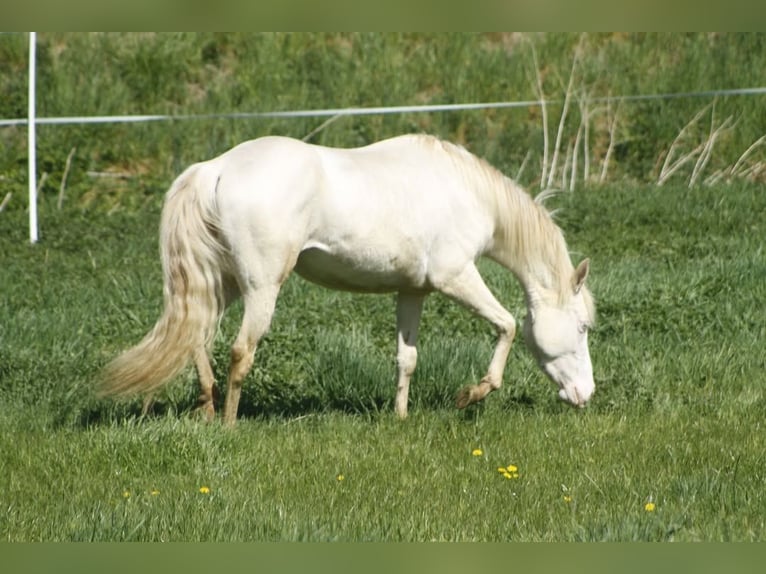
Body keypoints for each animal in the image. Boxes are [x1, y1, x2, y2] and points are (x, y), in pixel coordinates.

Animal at [99, 134, 595, 425]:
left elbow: (407, 358)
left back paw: (205, 408)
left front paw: (399, 417)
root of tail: (215, 168)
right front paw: (471, 395)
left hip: (222, 282)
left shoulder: (412, 291)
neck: (467, 191)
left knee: (197, 336)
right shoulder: (455, 277)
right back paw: (227, 424)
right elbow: (508, 325)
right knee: (240, 352)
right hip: (261, 287)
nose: (585, 394)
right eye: (583, 327)